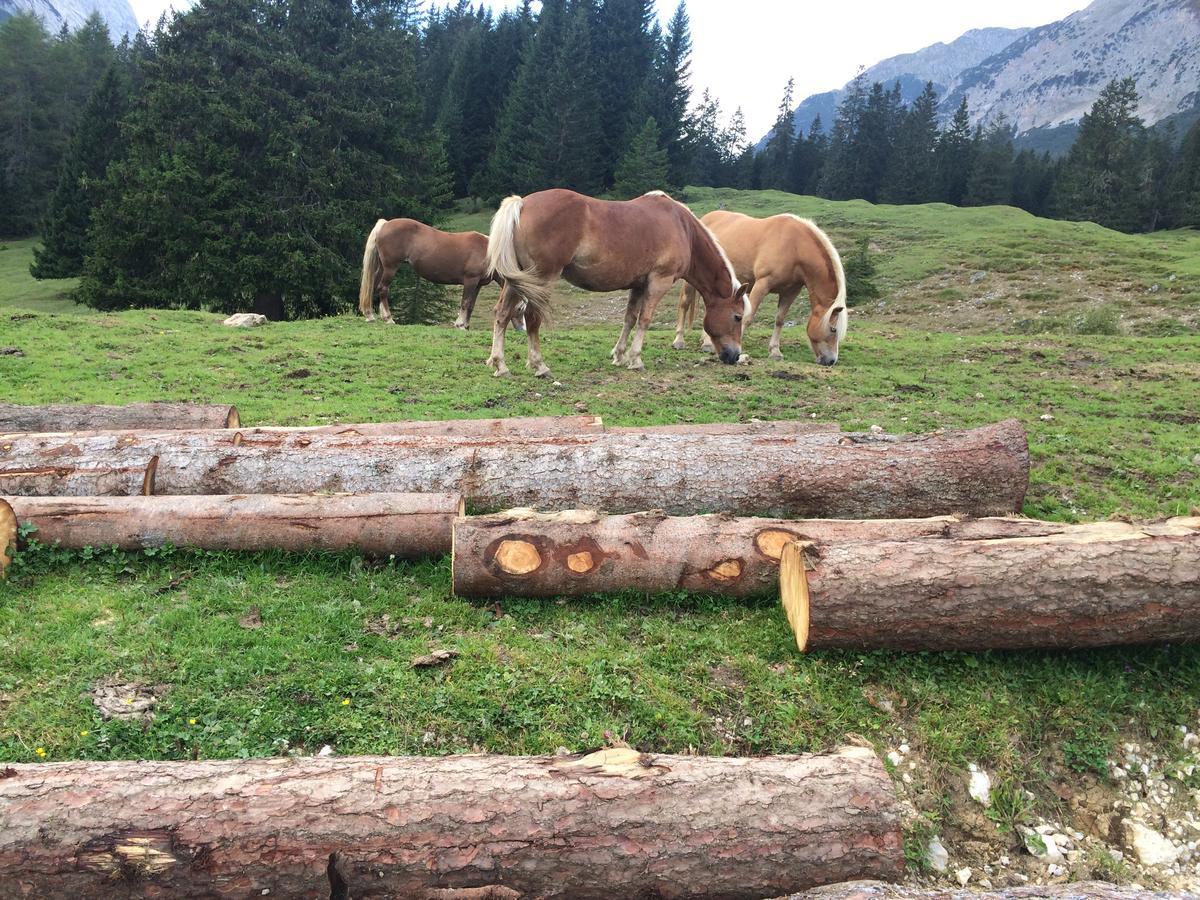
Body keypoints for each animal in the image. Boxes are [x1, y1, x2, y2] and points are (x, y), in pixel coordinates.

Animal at [360, 218, 501, 331]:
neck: (487, 251)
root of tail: (385, 224)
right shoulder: (470, 281)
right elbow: (465, 303)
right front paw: (460, 325)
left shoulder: (478, 285)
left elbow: (471, 305)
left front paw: (466, 326)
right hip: (390, 268)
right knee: (383, 288)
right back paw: (388, 318)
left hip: (382, 268)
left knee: (373, 286)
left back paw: (369, 315)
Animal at [482, 189, 744, 376]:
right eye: (737, 317)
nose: (735, 356)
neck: (683, 228)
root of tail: (522, 204)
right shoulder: (659, 281)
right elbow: (645, 320)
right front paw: (636, 359)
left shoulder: (638, 285)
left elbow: (630, 319)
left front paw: (619, 355)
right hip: (541, 280)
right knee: (532, 318)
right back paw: (539, 365)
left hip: (517, 281)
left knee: (502, 314)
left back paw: (500, 365)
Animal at [676, 211, 854, 367]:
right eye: (833, 329)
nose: (831, 361)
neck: (794, 246)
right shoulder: (762, 284)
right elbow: (747, 317)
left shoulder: (790, 292)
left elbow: (780, 320)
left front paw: (775, 352)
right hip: (691, 282)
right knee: (684, 304)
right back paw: (679, 340)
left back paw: (707, 343)